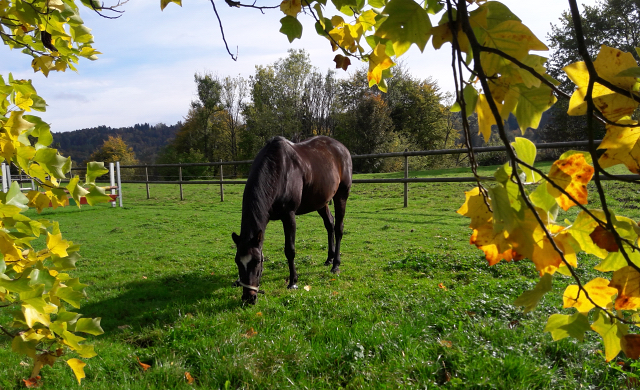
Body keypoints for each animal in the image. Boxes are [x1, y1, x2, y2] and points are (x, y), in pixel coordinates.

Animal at [231, 136, 352, 304]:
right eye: (237, 261)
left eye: (257, 262)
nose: (249, 298)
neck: (278, 171)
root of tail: (342, 148)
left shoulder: (289, 216)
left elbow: (290, 250)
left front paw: (293, 281)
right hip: (321, 202)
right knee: (330, 225)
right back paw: (329, 258)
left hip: (341, 195)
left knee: (339, 228)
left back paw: (335, 265)